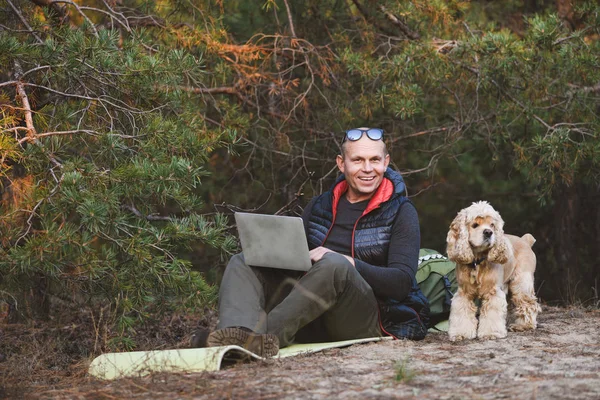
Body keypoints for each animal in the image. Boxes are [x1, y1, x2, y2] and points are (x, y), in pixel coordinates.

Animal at [446, 200, 540, 340]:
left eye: (492, 225)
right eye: (475, 225)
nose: (488, 232)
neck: (477, 261)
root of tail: (525, 240)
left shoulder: (493, 292)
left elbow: (492, 314)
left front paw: (491, 333)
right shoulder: (464, 292)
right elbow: (462, 312)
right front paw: (461, 333)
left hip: (521, 282)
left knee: (528, 303)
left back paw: (523, 325)